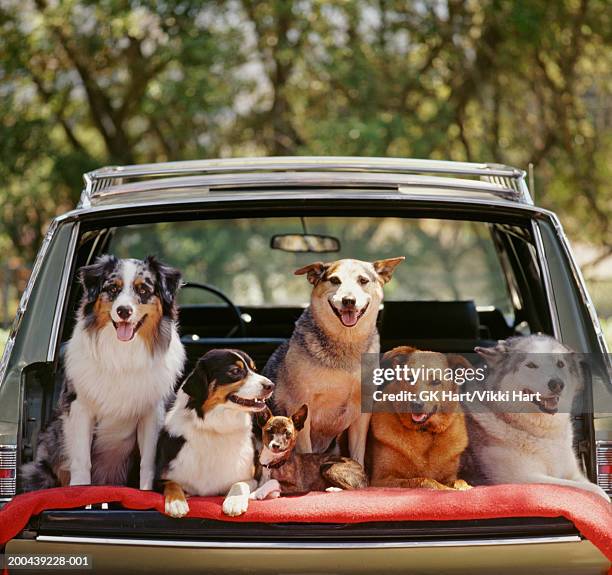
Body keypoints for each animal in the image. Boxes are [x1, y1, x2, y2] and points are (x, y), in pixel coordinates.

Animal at [20, 254, 185, 492]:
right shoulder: (80, 407)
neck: (123, 352)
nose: (123, 310)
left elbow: (148, 461)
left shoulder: (153, 412)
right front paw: (79, 491)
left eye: (143, 290)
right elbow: (82, 460)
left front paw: (146, 491)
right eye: (112, 288)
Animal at [158, 348, 282, 520]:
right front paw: (176, 503)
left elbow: (240, 483)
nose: (271, 385)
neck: (216, 428)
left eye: (254, 369)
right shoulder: (162, 476)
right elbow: (171, 483)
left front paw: (234, 501)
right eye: (235, 371)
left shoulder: (251, 478)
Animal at [264, 258, 404, 466]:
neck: (345, 342)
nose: (349, 300)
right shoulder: (301, 406)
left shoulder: (362, 412)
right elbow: (305, 451)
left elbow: (358, 453)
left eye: (363, 280)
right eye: (335, 280)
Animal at [368, 346, 474, 490]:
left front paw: (463, 486)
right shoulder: (380, 480)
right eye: (410, 378)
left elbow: (459, 480)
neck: (426, 431)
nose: (416, 404)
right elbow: (424, 480)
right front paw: (444, 488)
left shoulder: (450, 476)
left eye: (436, 381)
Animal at [464, 336, 612, 502]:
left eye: (560, 364)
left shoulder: (573, 474)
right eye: (531, 365)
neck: (542, 433)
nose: (557, 384)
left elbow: (594, 486)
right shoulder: (522, 478)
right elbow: (595, 490)